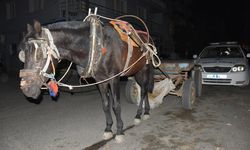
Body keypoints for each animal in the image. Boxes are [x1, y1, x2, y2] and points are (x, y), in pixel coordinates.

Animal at [18, 17, 156, 142]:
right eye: (23, 55)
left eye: (39, 54)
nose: (26, 89)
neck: (97, 44)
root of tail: (147, 38)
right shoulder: (101, 80)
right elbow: (106, 104)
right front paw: (108, 129)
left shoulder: (114, 79)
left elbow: (116, 106)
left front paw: (120, 131)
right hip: (137, 71)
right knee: (144, 90)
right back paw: (146, 111)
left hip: (145, 69)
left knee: (144, 90)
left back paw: (140, 114)